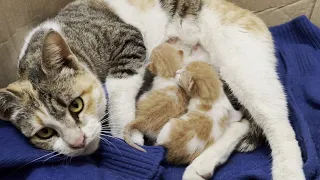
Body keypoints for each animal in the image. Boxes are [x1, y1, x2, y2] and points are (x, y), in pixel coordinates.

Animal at [0, 0, 304, 180]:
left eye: (76, 105)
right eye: (45, 133)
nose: (77, 142)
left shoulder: (128, 41)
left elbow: (119, 89)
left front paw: (126, 135)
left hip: (244, 68)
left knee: (277, 126)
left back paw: (287, 170)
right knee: (241, 120)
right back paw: (202, 166)